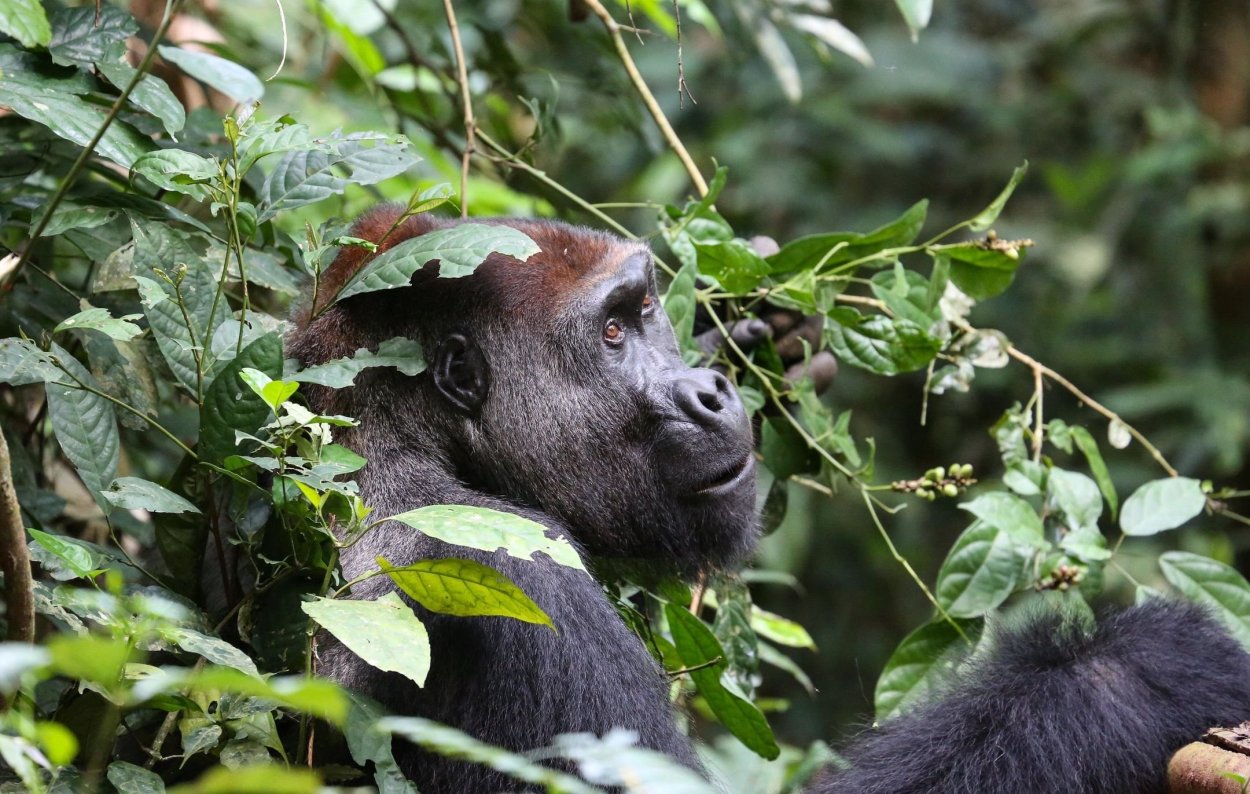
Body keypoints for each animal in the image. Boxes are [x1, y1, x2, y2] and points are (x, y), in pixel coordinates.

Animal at [287, 207, 1250, 790]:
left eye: (646, 313)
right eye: (610, 332)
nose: (711, 393)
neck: (391, 436)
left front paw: (768, 339)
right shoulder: (512, 569)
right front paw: (1138, 674)